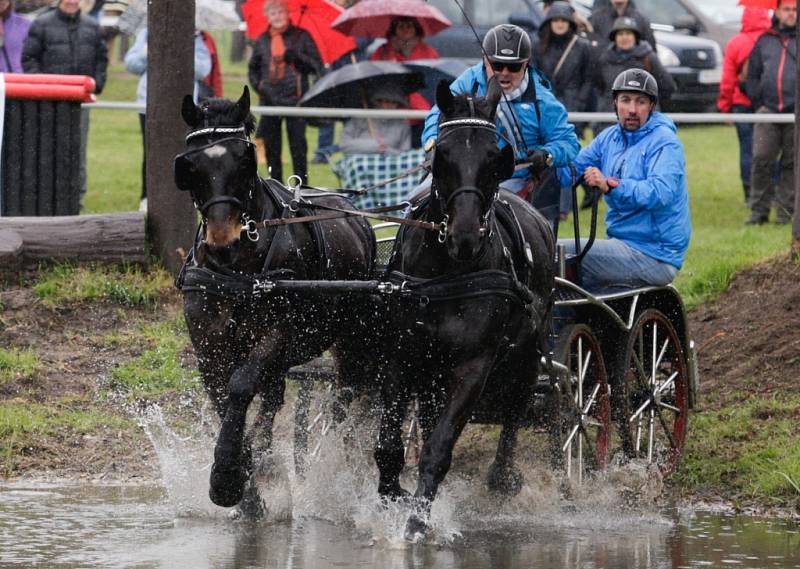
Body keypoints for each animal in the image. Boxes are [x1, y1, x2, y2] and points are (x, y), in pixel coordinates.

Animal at [175, 86, 376, 512]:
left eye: (244, 159)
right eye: (191, 165)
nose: (223, 236)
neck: (238, 270)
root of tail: (352, 210)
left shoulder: (278, 333)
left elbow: (240, 386)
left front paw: (227, 476)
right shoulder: (208, 346)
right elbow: (224, 397)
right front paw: (244, 480)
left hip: (351, 341)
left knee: (345, 398)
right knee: (273, 399)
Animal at [376, 79, 556, 536]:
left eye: (495, 156)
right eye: (442, 153)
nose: (465, 237)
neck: (445, 272)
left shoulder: (475, 364)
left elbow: (440, 446)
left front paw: (417, 522)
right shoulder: (402, 356)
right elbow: (388, 443)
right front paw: (393, 495)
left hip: (527, 354)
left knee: (515, 411)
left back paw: (503, 477)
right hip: (431, 369)